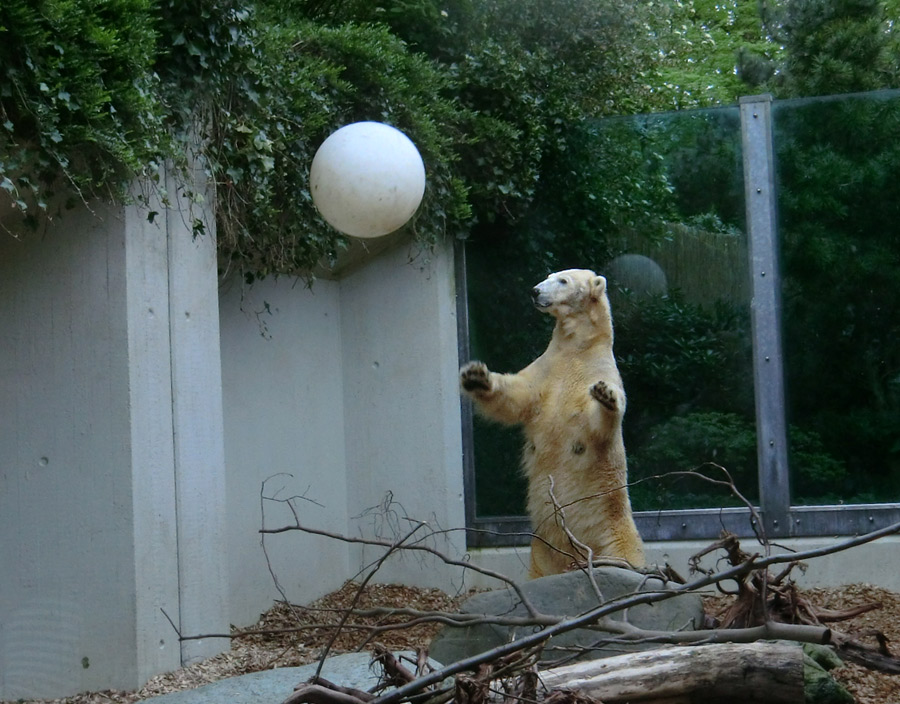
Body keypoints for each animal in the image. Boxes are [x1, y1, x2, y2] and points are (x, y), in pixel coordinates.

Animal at [460, 270, 644, 576]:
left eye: (563, 281)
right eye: (549, 276)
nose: (535, 291)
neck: (577, 348)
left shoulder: (597, 371)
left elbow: (597, 424)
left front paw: (606, 397)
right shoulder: (546, 369)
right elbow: (517, 395)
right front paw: (477, 377)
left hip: (613, 530)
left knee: (626, 553)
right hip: (540, 550)